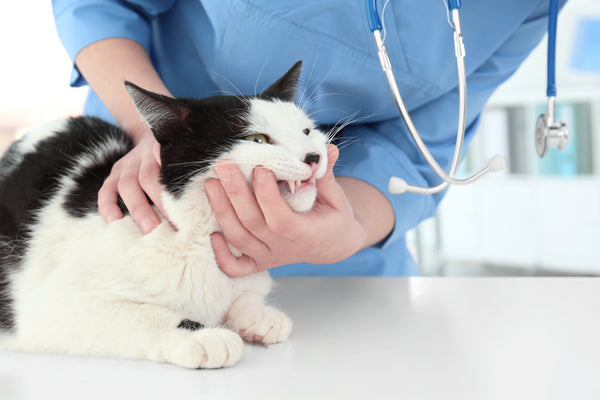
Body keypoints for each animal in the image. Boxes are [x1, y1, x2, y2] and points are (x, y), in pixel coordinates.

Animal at [0, 60, 328, 368]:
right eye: (258, 139)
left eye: (306, 131)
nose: (314, 157)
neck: (202, 238)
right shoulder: (53, 310)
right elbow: (143, 315)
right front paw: (203, 336)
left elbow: (248, 296)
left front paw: (258, 316)